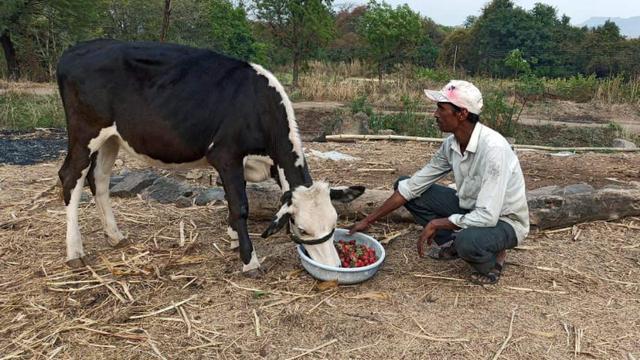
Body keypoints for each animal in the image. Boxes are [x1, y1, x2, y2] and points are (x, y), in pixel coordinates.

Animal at [56, 39, 364, 274]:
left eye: (335, 223)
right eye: (302, 229)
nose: (335, 266)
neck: (257, 105)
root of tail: (75, 50)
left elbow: (232, 199)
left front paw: (233, 238)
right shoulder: (225, 154)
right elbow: (240, 205)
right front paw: (249, 261)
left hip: (112, 137)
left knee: (99, 179)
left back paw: (115, 236)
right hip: (85, 132)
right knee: (71, 176)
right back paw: (75, 251)